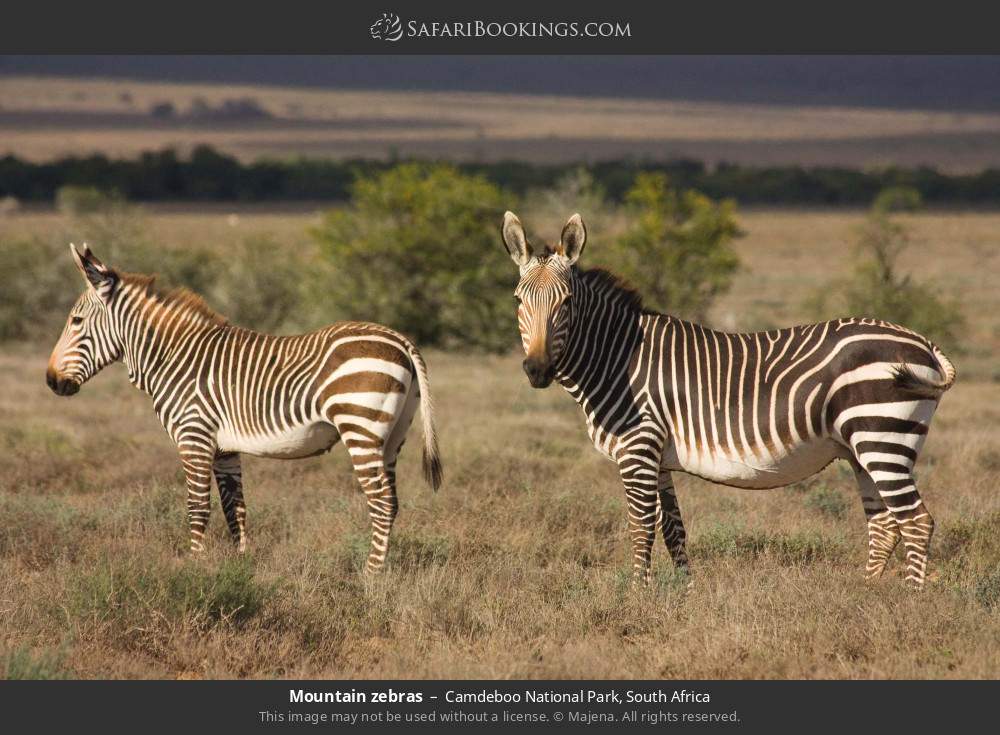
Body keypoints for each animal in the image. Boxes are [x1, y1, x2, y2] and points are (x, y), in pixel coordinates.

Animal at [46, 244, 442, 572]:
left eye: (76, 321)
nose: (51, 381)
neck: (173, 357)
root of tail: (400, 339)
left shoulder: (194, 437)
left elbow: (198, 507)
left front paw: (194, 569)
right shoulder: (225, 448)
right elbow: (234, 508)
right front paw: (241, 566)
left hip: (359, 427)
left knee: (381, 503)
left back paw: (370, 576)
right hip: (392, 437)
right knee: (392, 502)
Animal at [501, 211, 956, 588]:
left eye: (566, 303)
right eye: (519, 301)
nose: (537, 370)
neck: (617, 357)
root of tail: (923, 342)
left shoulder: (638, 449)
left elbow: (640, 528)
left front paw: (636, 597)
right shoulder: (659, 457)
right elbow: (673, 530)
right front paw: (684, 596)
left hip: (882, 436)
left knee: (916, 521)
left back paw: (909, 601)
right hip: (863, 449)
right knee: (884, 526)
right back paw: (867, 595)